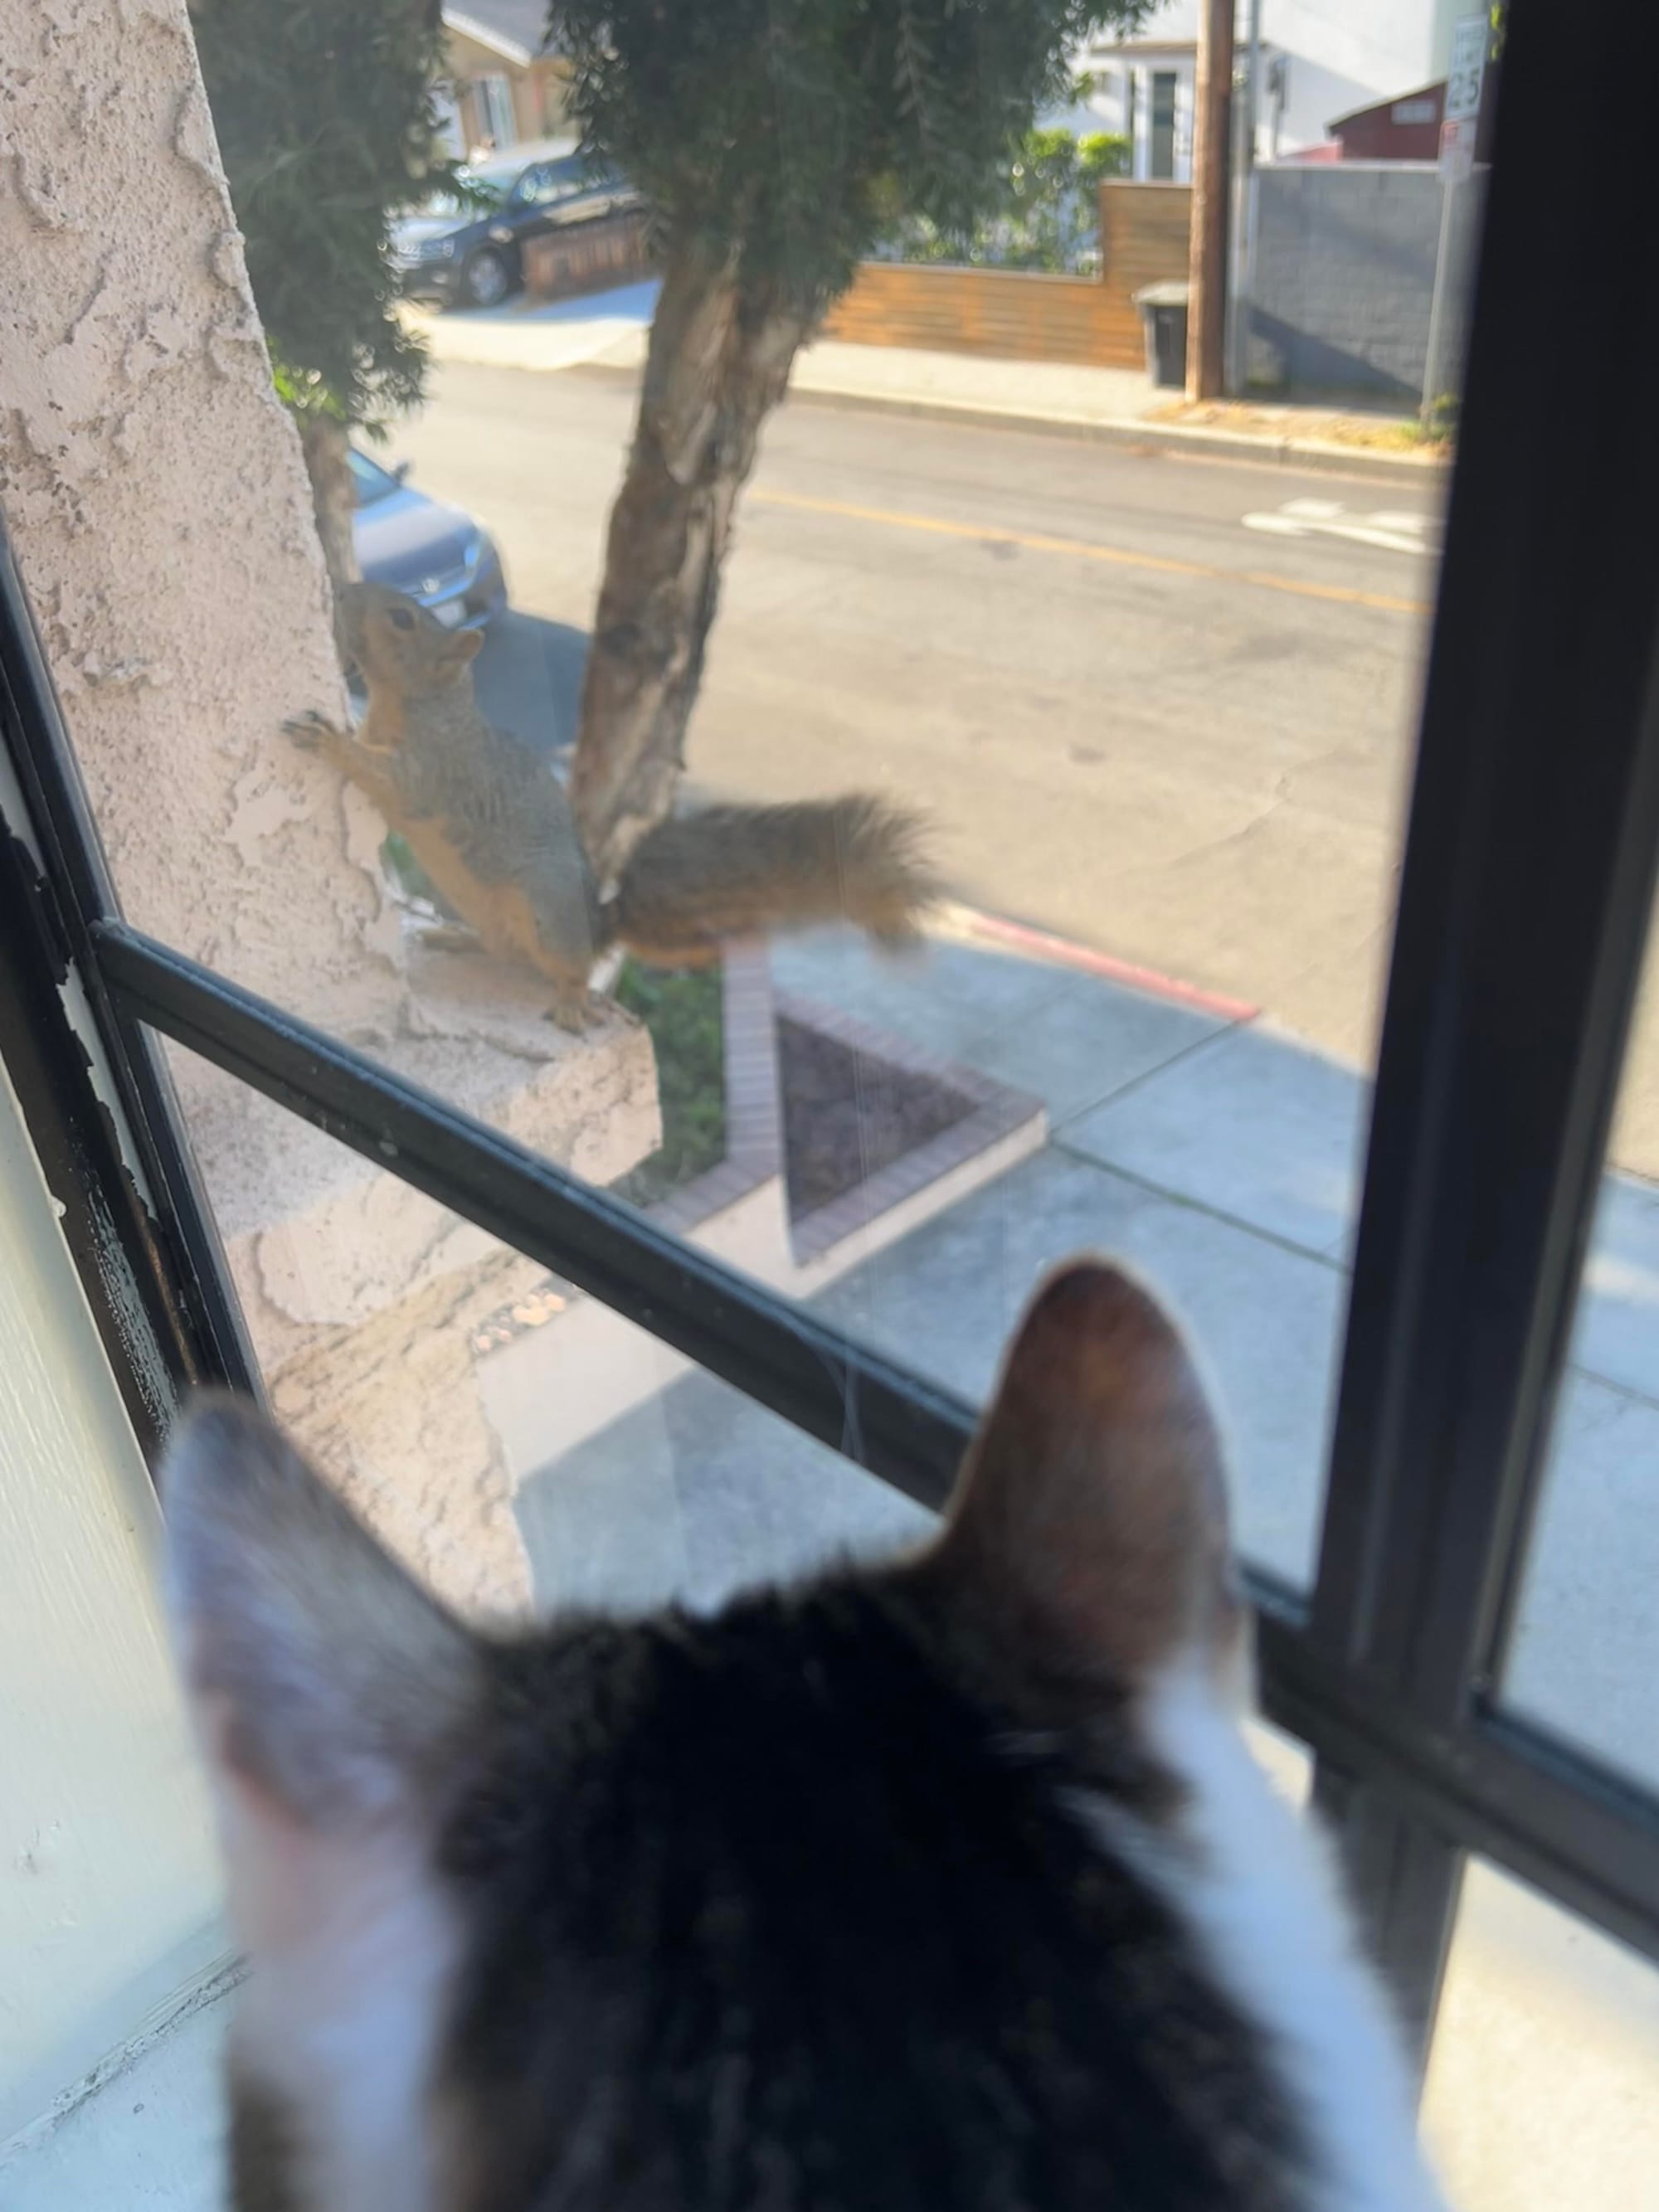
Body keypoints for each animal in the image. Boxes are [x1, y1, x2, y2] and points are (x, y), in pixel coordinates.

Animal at [286, 582, 940, 1031]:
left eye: (401, 618)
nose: (343, 590)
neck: (423, 703)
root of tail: (598, 929)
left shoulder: (438, 769)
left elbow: (393, 783)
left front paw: (329, 742)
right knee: (504, 950)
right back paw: (459, 940)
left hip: (546, 907)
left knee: (567, 969)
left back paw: (573, 1003)